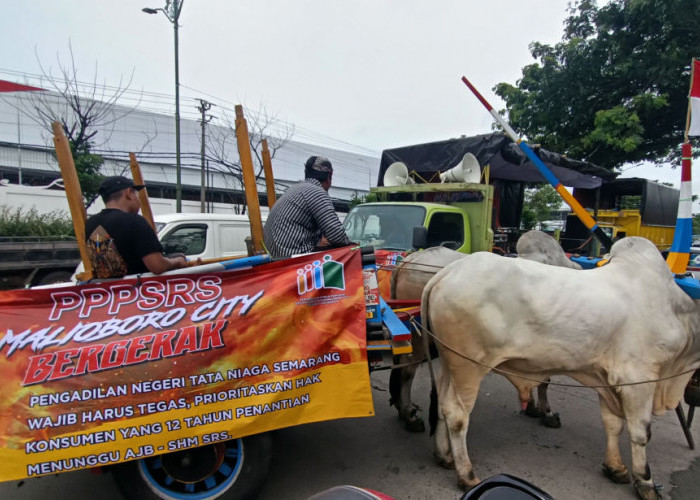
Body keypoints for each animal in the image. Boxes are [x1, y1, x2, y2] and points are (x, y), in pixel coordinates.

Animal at [388, 230, 576, 430]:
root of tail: (410, 259)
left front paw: (532, 407)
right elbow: (544, 380)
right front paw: (547, 413)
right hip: (419, 333)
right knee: (407, 370)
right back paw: (409, 415)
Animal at [422, 235, 700, 500]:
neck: (679, 311)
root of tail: (448, 272)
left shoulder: (605, 378)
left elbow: (612, 424)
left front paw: (615, 468)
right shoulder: (638, 378)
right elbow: (641, 431)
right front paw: (645, 482)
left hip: (448, 363)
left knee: (442, 405)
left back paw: (444, 456)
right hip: (469, 366)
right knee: (457, 414)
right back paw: (466, 474)